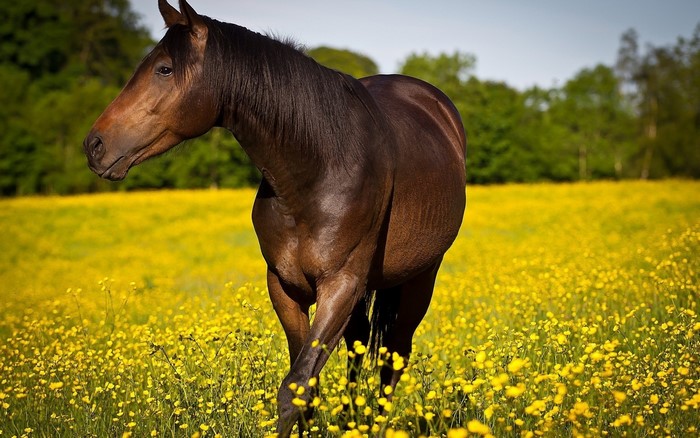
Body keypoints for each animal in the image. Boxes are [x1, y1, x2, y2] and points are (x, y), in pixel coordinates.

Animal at [83, 0, 466, 435]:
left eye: (164, 69)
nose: (94, 145)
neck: (317, 169)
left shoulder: (341, 285)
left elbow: (295, 386)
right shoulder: (285, 286)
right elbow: (306, 388)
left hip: (420, 277)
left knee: (394, 354)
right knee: (358, 348)